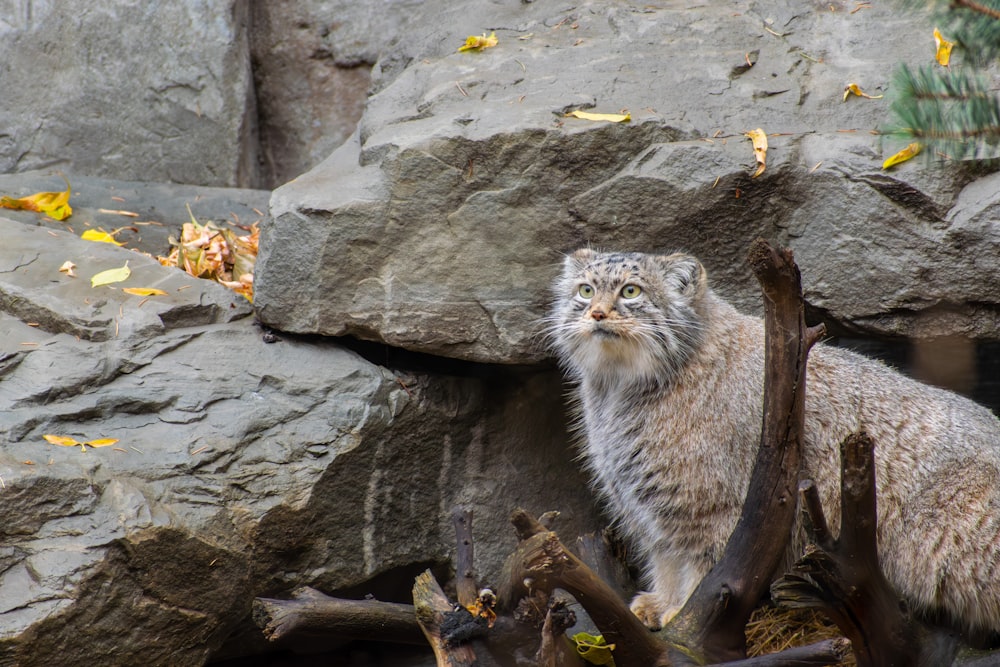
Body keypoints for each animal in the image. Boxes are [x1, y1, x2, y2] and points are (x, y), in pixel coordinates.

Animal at [548, 249, 1000, 636]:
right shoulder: (647, 499)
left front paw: (684, 615)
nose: (596, 312)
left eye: (631, 291)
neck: (626, 387)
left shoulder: (710, 501)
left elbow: (704, 564)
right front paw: (661, 602)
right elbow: (664, 554)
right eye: (585, 290)